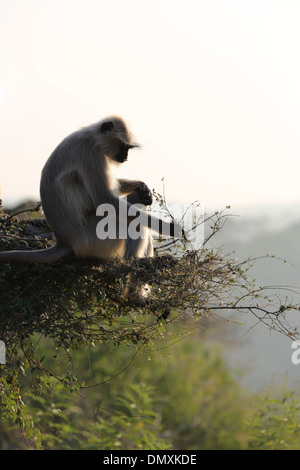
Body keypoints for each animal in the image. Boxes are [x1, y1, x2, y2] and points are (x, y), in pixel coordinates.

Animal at [0, 116, 183, 266]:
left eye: (128, 148)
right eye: (123, 147)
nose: (126, 157)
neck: (92, 137)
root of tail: (64, 241)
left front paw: (141, 186)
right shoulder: (90, 153)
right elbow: (106, 200)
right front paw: (170, 228)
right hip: (95, 239)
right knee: (132, 213)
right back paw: (132, 261)